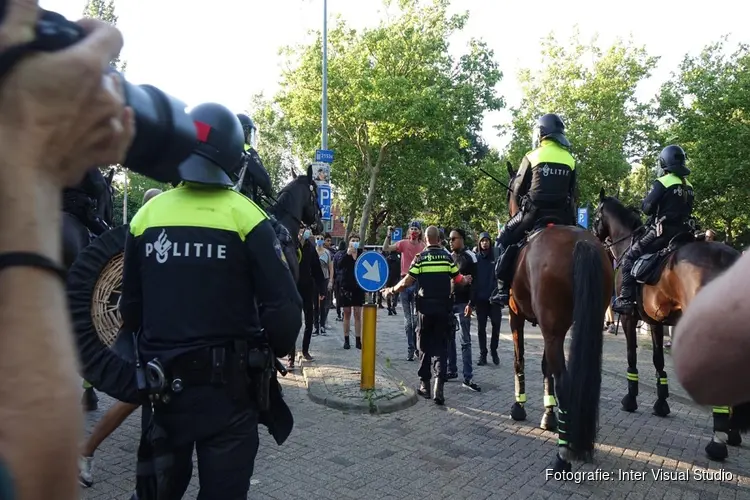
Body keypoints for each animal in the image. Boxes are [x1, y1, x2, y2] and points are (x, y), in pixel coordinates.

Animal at [506, 164, 616, 472]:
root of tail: (581, 243)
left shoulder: (515, 314)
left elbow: (519, 359)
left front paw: (519, 407)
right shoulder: (548, 328)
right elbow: (546, 368)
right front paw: (548, 415)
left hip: (550, 327)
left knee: (566, 381)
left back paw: (563, 455)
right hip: (572, 326)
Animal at [592, 190, 748, 460]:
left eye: (596, 215)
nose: (593, 235)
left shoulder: (630, 318)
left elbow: (632, 355)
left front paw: (630, 399)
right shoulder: (655, 320)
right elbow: (658, 360)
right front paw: (661, 403)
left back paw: (717, 442)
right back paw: (732, 432)